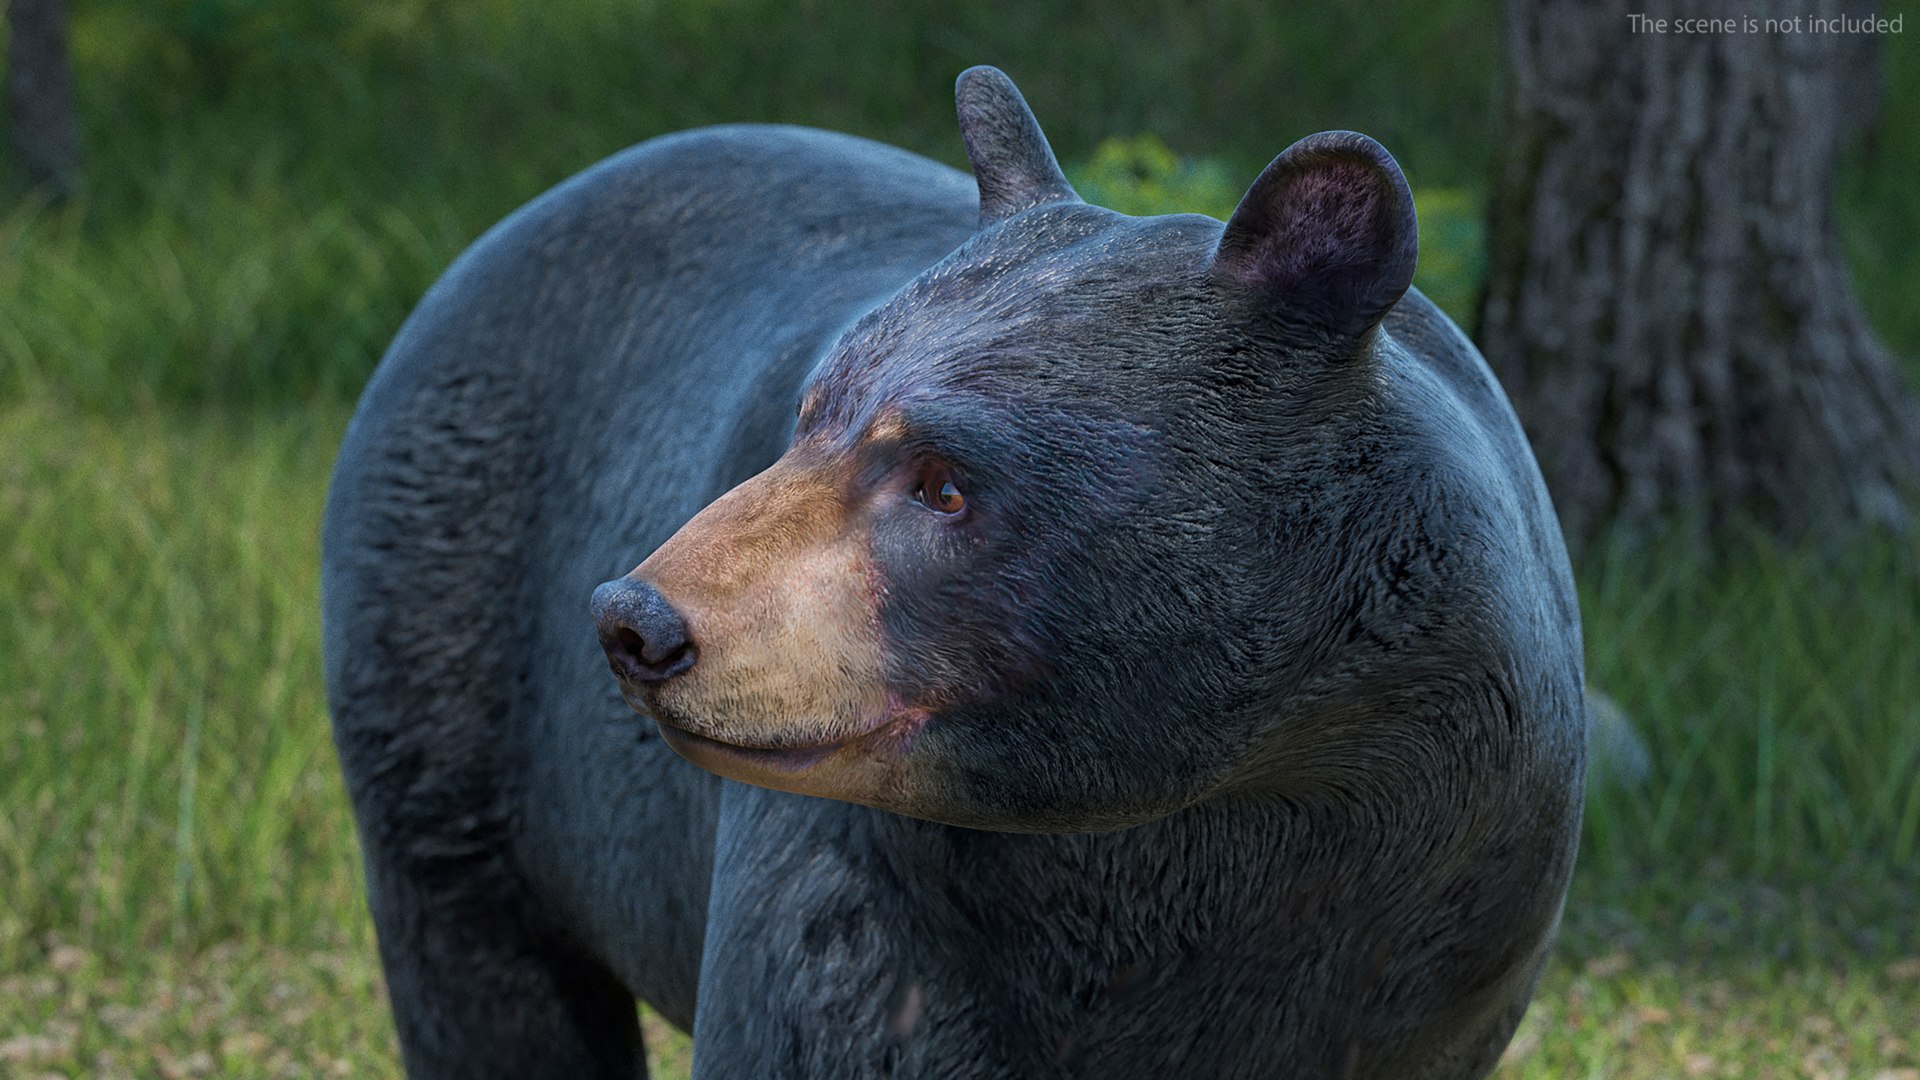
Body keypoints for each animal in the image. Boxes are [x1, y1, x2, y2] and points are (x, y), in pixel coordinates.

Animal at [323, 66, 1585, 1079]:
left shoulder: (1441, 937)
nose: (637, 622)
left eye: (942, 482)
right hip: (441, 671)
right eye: (808, 417)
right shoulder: (878, 916)